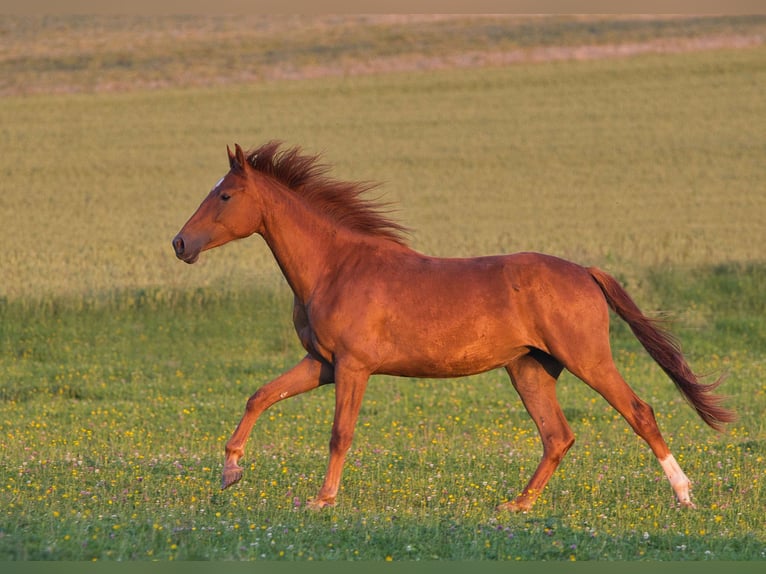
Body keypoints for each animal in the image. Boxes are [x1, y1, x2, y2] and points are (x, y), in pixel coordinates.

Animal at [171, 143, 736, 512]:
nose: (179, 244)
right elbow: (260, 396)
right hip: (529, 369)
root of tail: (584, 272)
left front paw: (322, 500)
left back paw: (684, 495)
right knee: (557, 436)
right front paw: (230, 472)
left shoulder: (353, 367)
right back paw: (516, 506)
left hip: (587, 360)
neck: (335, 267)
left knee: (639, 413)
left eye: (225, 196)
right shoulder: (322, 365)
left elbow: (339, 433)